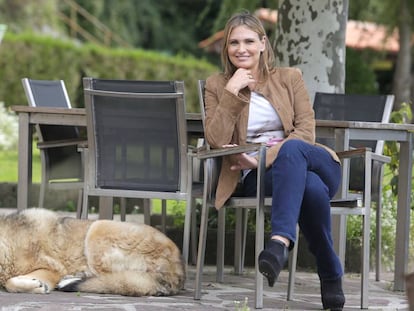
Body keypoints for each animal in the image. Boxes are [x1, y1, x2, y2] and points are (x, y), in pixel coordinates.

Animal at [0, 208, 184, 296]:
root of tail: (178, 271)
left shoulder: (53, 268)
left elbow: (10, 283)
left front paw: (35, 285)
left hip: (98, 229)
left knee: (111, 279)